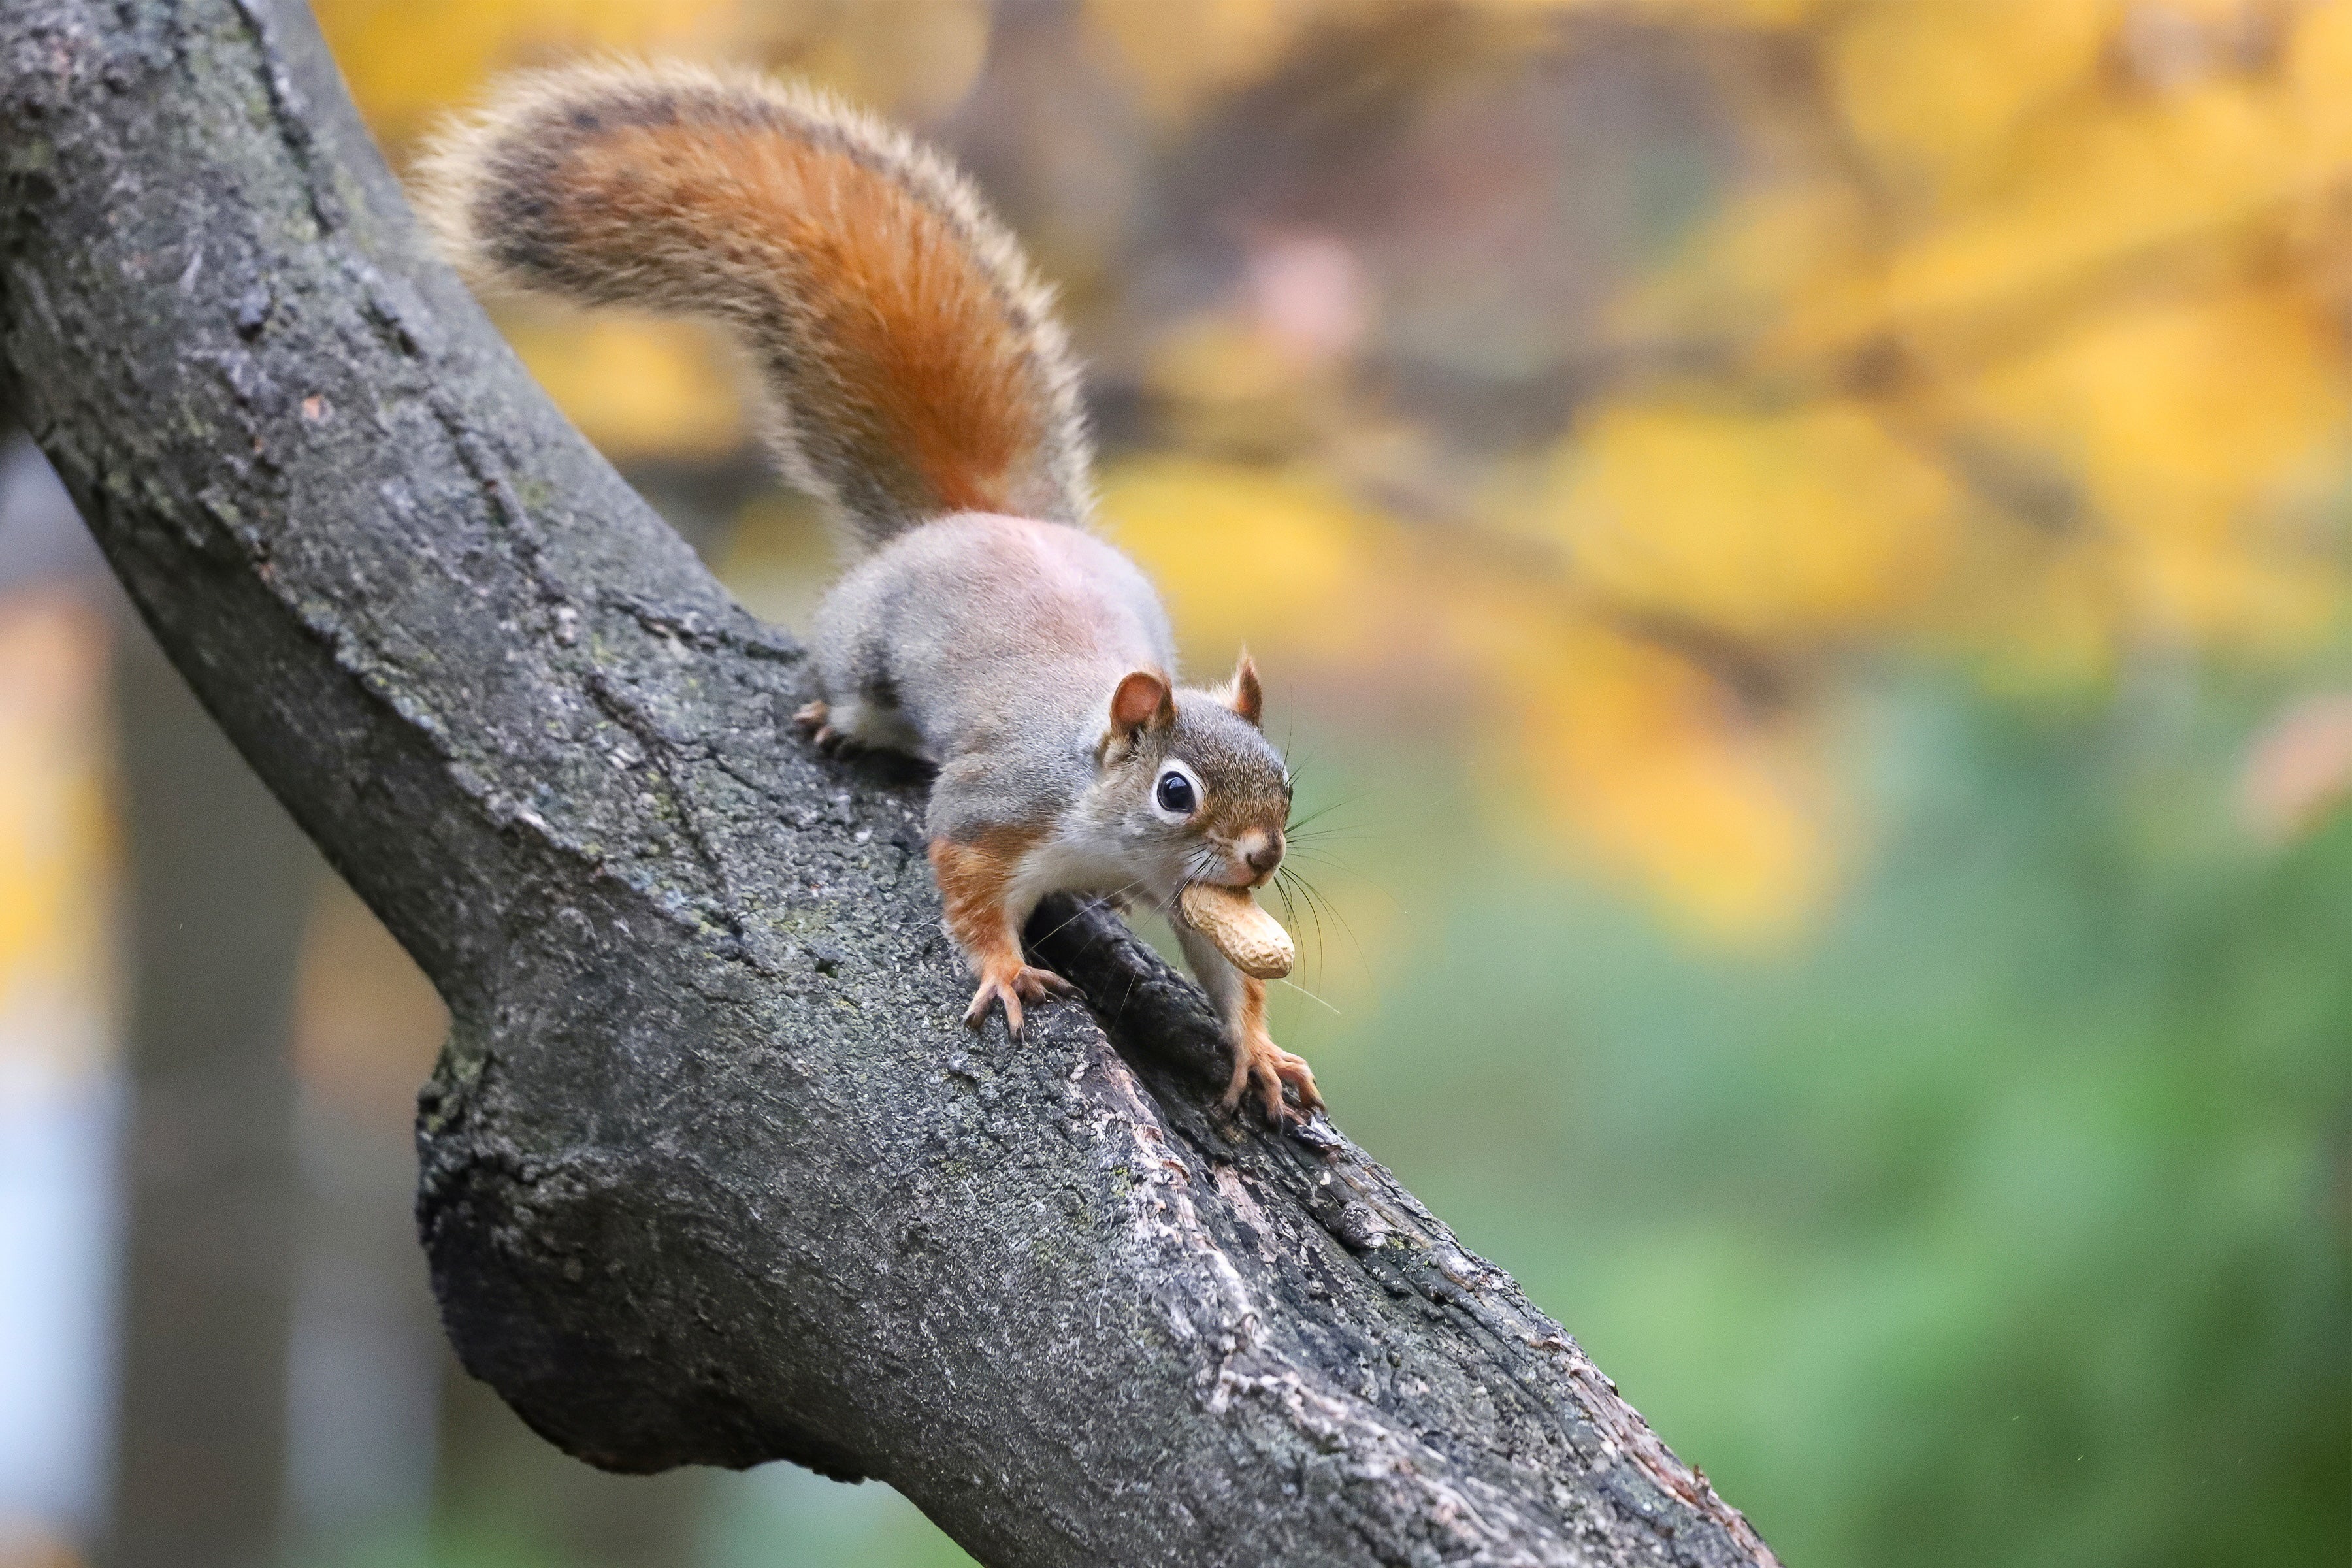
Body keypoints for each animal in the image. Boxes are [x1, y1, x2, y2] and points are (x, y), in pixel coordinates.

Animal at [416, 60, 1322, 1124]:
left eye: (1285, 783)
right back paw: (840, 726)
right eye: (1176, 791)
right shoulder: (997, 803)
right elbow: (967, 882)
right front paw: (1004, 970)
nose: (1263, 856)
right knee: (856, 698)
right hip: (861, 652)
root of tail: (979, 519)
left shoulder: (1201, 898)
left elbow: (1233, 972)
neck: (1118, 833)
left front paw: (1258, 1050)